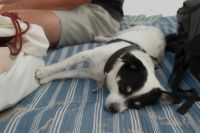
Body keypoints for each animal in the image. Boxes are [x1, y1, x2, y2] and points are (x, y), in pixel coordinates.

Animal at [35, 25, 180, 112]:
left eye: (135, 105)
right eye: (124, 88)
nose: (114, 108)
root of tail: (160, 33)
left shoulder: (89, 73)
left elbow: (70, 73)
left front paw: (46, 77)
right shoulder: (85, 55)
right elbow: (65, 63)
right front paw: (45, 71)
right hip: (127, 31)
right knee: (113, 35)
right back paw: (100, 37)